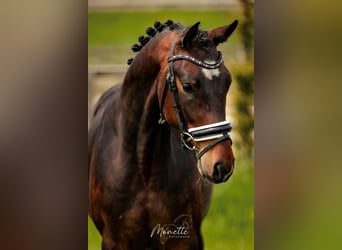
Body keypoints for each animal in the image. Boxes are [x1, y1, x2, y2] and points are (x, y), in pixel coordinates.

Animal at [88, 19, 238, 250]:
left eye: (227, 82)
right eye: (188, 86)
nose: (222, 164)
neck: (143, 168)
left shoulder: (185, 239)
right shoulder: (115, 241)